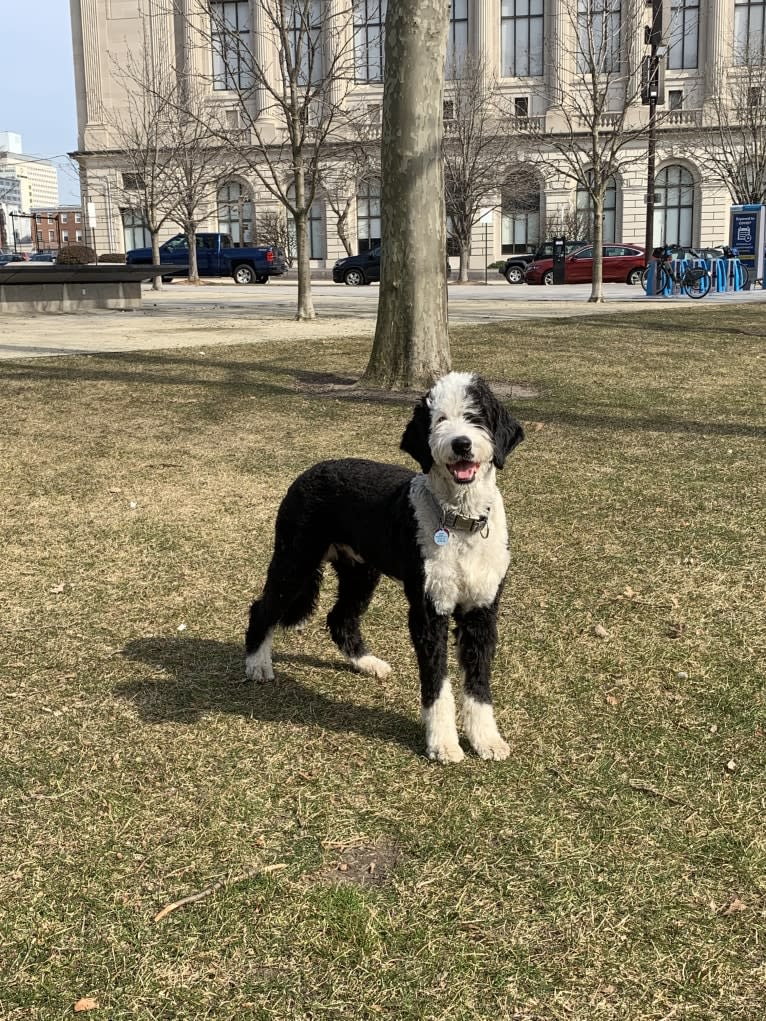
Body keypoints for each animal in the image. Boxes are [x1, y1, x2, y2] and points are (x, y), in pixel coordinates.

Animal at [249, 371, 527, 763]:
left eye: (476, 416)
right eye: (439, 420)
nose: (461, 444)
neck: (460, 521)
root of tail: (311, 471)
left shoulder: (482, 611)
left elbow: (478, 682)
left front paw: (486, 738)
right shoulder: (428, 612)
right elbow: (437, 684)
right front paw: (442, 742)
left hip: (360, 572)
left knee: (340, 618)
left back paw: (366, 662)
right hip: (295, 562)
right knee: (263, 608)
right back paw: (257, 663)